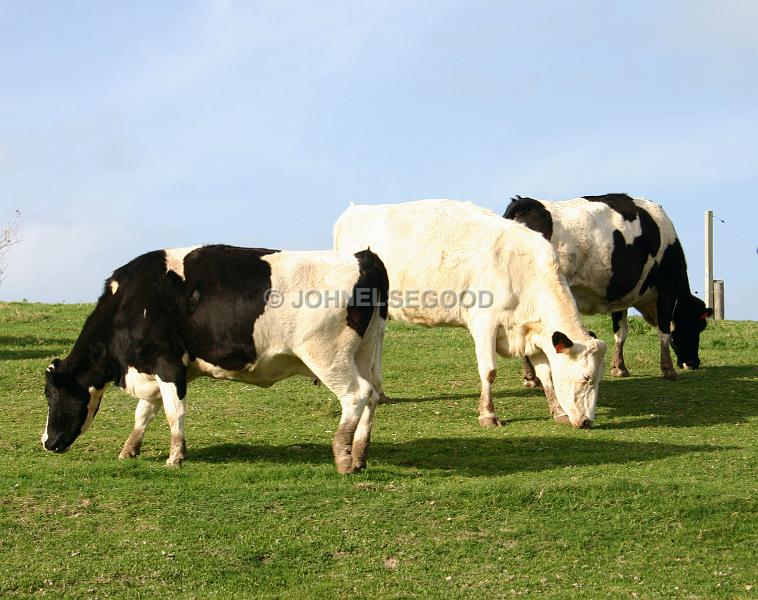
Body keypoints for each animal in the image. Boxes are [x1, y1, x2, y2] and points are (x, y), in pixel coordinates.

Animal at [40, 244, 392, 474]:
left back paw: (343, 457)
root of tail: (362, 256)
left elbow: (174, 412)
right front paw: (129, 450)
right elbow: (144, 413)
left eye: (51, 393)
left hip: (326, 354)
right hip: (365, 352)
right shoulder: (153, 369)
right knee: (373, 395)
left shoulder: (168, 364)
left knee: (356, 394)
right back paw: (359, 456)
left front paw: (175, 457)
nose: (47, 442)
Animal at [336, 199, 608, 428]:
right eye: (586, 377)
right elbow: (489, 371)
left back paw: (380, 392)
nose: (587, 421)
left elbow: (546, 373)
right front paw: (488, 414)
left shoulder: (533, 331)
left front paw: (557, 411)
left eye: (598, 379)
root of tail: (354, 210)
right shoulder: (484, 323)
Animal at [504, 195, 712, 386]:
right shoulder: (667, 290)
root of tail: (526, 203)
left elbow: (621, 332)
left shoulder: (621, 296)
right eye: (698, 325)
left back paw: (530, 377)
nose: (693, 362)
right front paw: (668, 369)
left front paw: (619, 367)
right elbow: (664, 331)